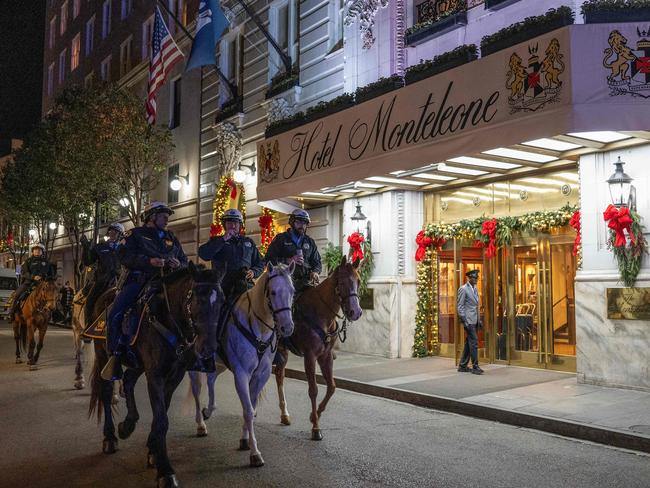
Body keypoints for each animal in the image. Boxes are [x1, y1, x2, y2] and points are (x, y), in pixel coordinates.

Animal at [88, 264, 224, 488]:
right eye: (198, 299)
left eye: (221, 300)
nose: (208, 349)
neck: (167, 318)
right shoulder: (155, 375)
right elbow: (161, 419)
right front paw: (165, 471)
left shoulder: (175, 375)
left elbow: (162, 414)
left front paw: (153, 450)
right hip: (103, 355)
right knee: (107, 392)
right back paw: (110, 437)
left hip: (137, 363)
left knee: (128, 380)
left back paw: (128, 425)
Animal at [187, 264, 294, 468]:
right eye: (273, 292)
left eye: (292, 291)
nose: (287, 327)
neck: (259, 329)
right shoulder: (241, 373)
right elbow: (248, 410)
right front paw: (255, 453)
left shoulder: (261, 375)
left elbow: (250, 408)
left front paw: (245, 440)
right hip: (195, 365)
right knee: (197, 391)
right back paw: (200, 424)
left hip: (219, 363)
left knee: (211, 380)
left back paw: (209, 410)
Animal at [272, 260, 362, 442]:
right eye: (342, 283)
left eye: (359, 282)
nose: (356, 312)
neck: (321, 313)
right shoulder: (310, 356)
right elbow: (313, 390)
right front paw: (315, 428)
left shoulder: (325, 356)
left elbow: (332, 387)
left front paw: (315, 416)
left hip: (282, 352)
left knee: (279, 375)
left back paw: (284, 415)